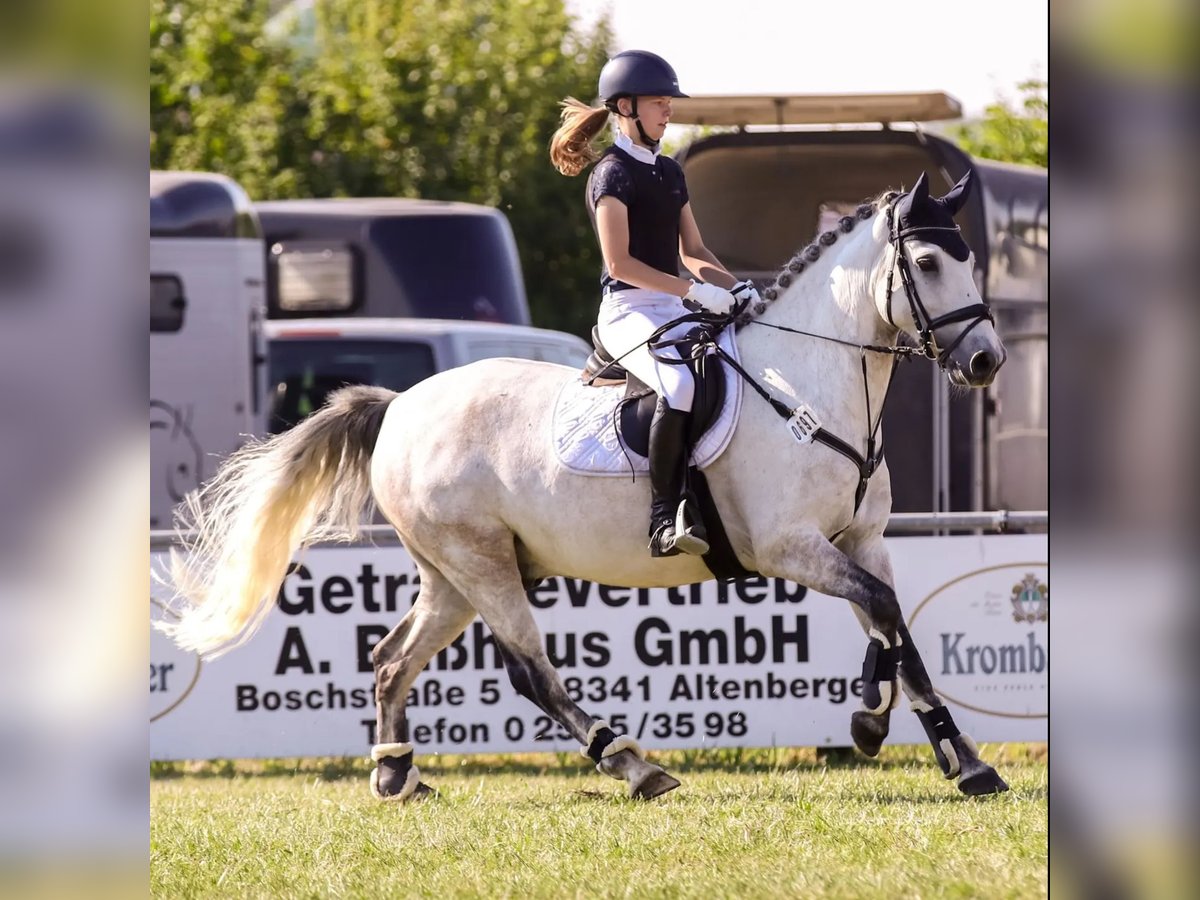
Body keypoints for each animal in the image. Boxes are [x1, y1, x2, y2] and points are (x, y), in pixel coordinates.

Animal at [154, 169, 1008, 801]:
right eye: (927, 264)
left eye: (969, 259)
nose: (986, 362)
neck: (808, 382)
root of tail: (399, 406)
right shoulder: (787, 545)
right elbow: (885, 613)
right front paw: (890, 731)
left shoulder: (858, 539)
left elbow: (892, 626)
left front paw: (941, 750)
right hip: (481, 561)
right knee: (529, 668)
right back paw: (633, 765)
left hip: (451, 570)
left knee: (394, 658)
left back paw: (397, 775)